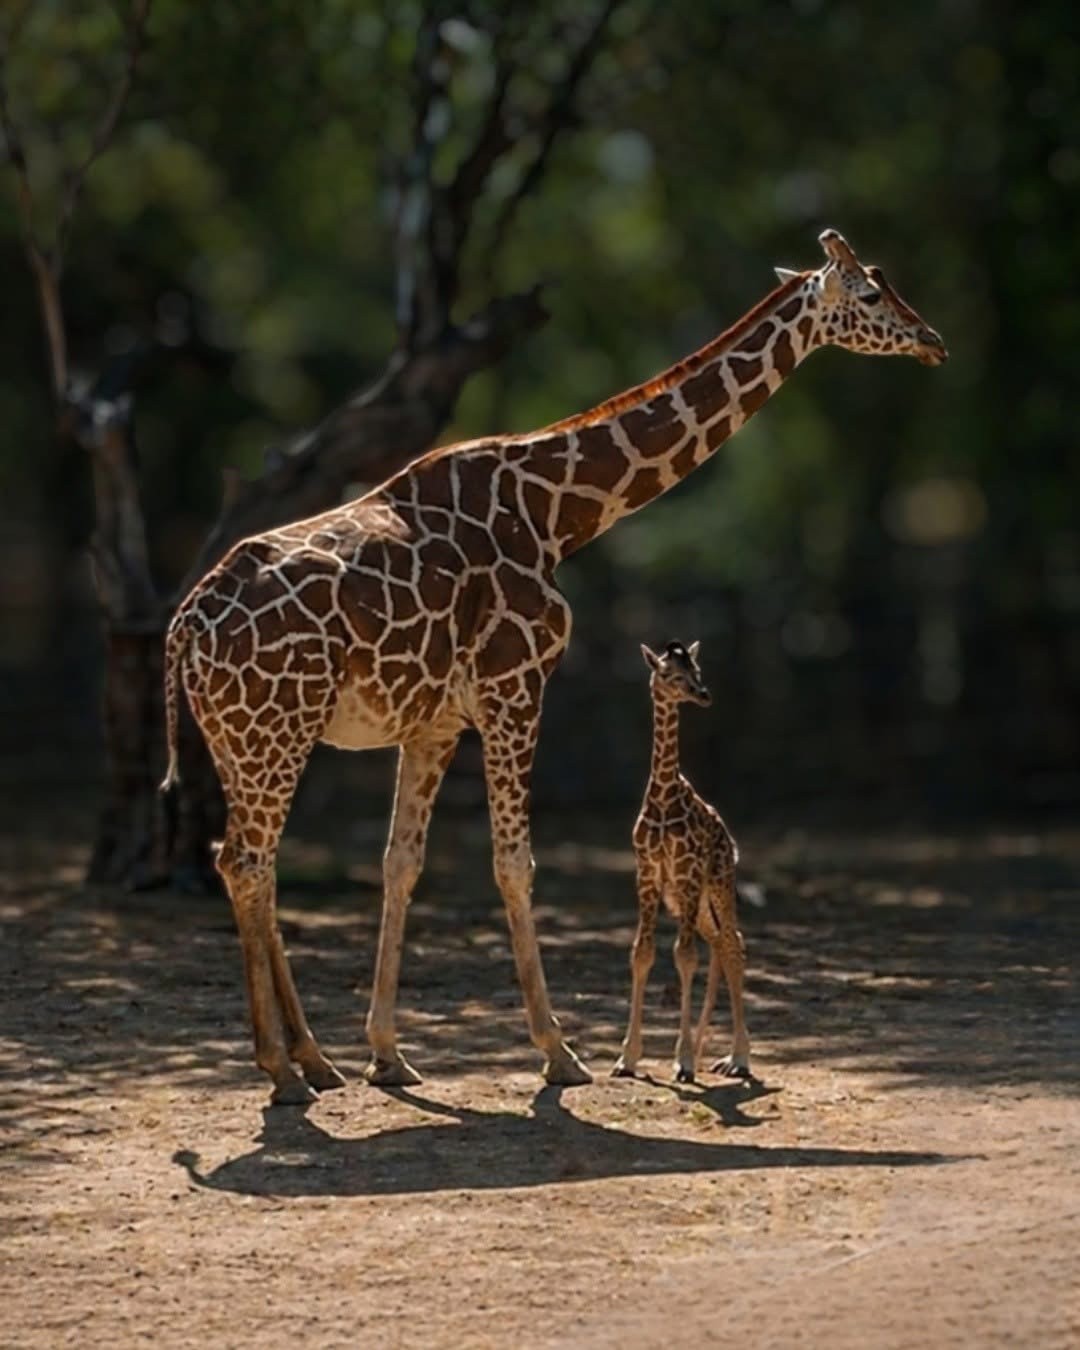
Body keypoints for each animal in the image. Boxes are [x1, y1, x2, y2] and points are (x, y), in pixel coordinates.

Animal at [612, 640, 748, 1085]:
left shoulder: (686, 873)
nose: (703, 694)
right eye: (670, 675)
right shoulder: (649, 875)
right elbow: (642, 953)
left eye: (697, 670)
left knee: (734, 943)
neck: (663, 796)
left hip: (717, 883)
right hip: (694, 901)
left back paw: (739, 1057)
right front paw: (627, 1058)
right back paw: (715, 1053)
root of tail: (729, 839)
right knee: (721, 943)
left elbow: (684, 957)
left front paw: (684, 1060)